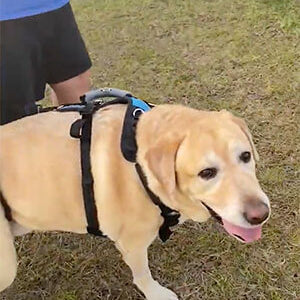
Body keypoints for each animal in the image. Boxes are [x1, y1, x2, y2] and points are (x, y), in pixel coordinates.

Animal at [0, 102, 270, 298]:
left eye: (246, 156)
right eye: (207, 173)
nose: (260, 215)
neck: (139, 167)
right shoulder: (133, 244)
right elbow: (142, 274)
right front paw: (157, 294)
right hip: (7, 264)